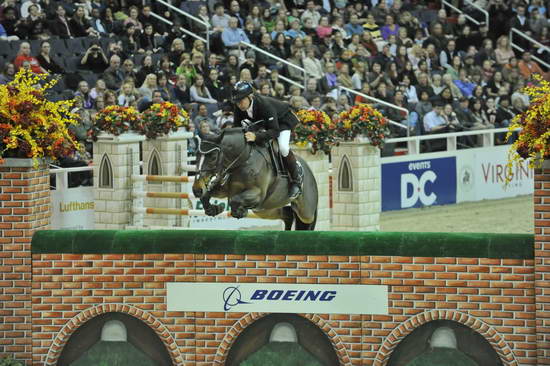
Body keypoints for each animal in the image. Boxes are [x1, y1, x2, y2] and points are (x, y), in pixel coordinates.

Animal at [192, 129, 320, 230]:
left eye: (213, 157)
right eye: (196, 155)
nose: (196, 190)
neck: (243, 160)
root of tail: (309, 170)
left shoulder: (258, 194)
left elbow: (234, 200)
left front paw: (239, 212)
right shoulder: (223, 190)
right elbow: (206, 196)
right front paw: (215, 209)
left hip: (306, 211)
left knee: (306, 221)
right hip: (265, 210)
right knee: (288, 214)